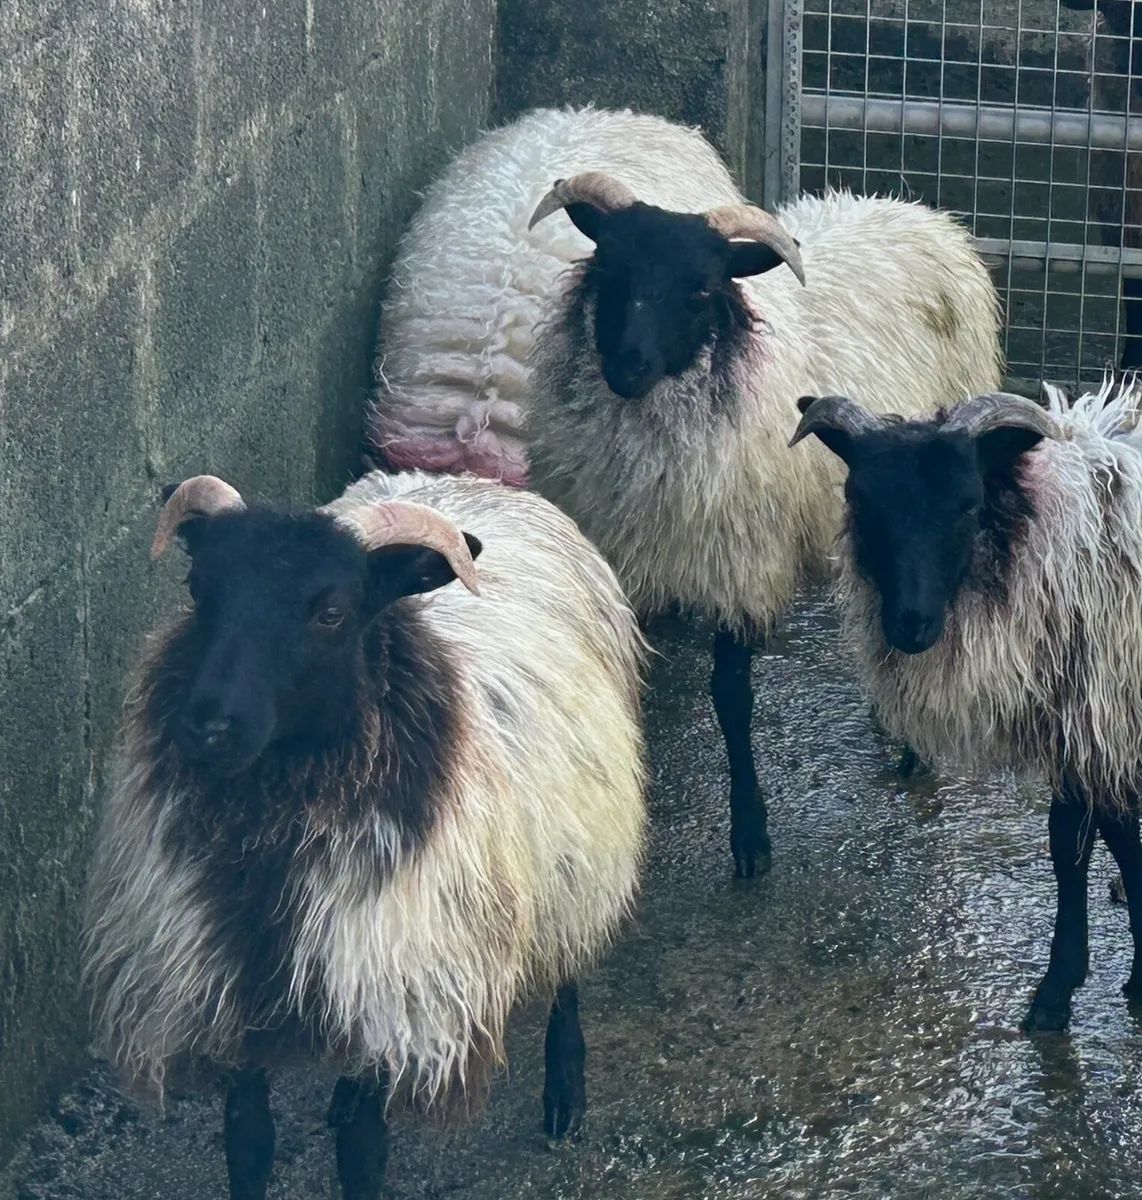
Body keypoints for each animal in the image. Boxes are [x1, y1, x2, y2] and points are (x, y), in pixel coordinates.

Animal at [81, 469, 647, 1200]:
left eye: (332, 612)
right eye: (199, 590)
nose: (207, 728)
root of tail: (460, 478)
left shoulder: (395, 981)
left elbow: (362, 1148)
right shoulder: (231, 992)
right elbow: (246, 1139)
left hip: (573, 858)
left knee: (567, 971)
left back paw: (564, 1097)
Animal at [523, 166, 1004, 879]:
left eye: (701, 287)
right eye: (608, 265)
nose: (627, 366)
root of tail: (904, 206)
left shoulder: (738, 566)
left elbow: (732, 700)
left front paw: (750, 835)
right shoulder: (627, 566)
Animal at [789, 375, 1142, 1032]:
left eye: (967, 503)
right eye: (861, 499)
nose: (911, 624)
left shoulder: (1103, 716)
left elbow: (1119, 838)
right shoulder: (1079, 724)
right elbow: (1069, 844)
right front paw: (1059, 990)